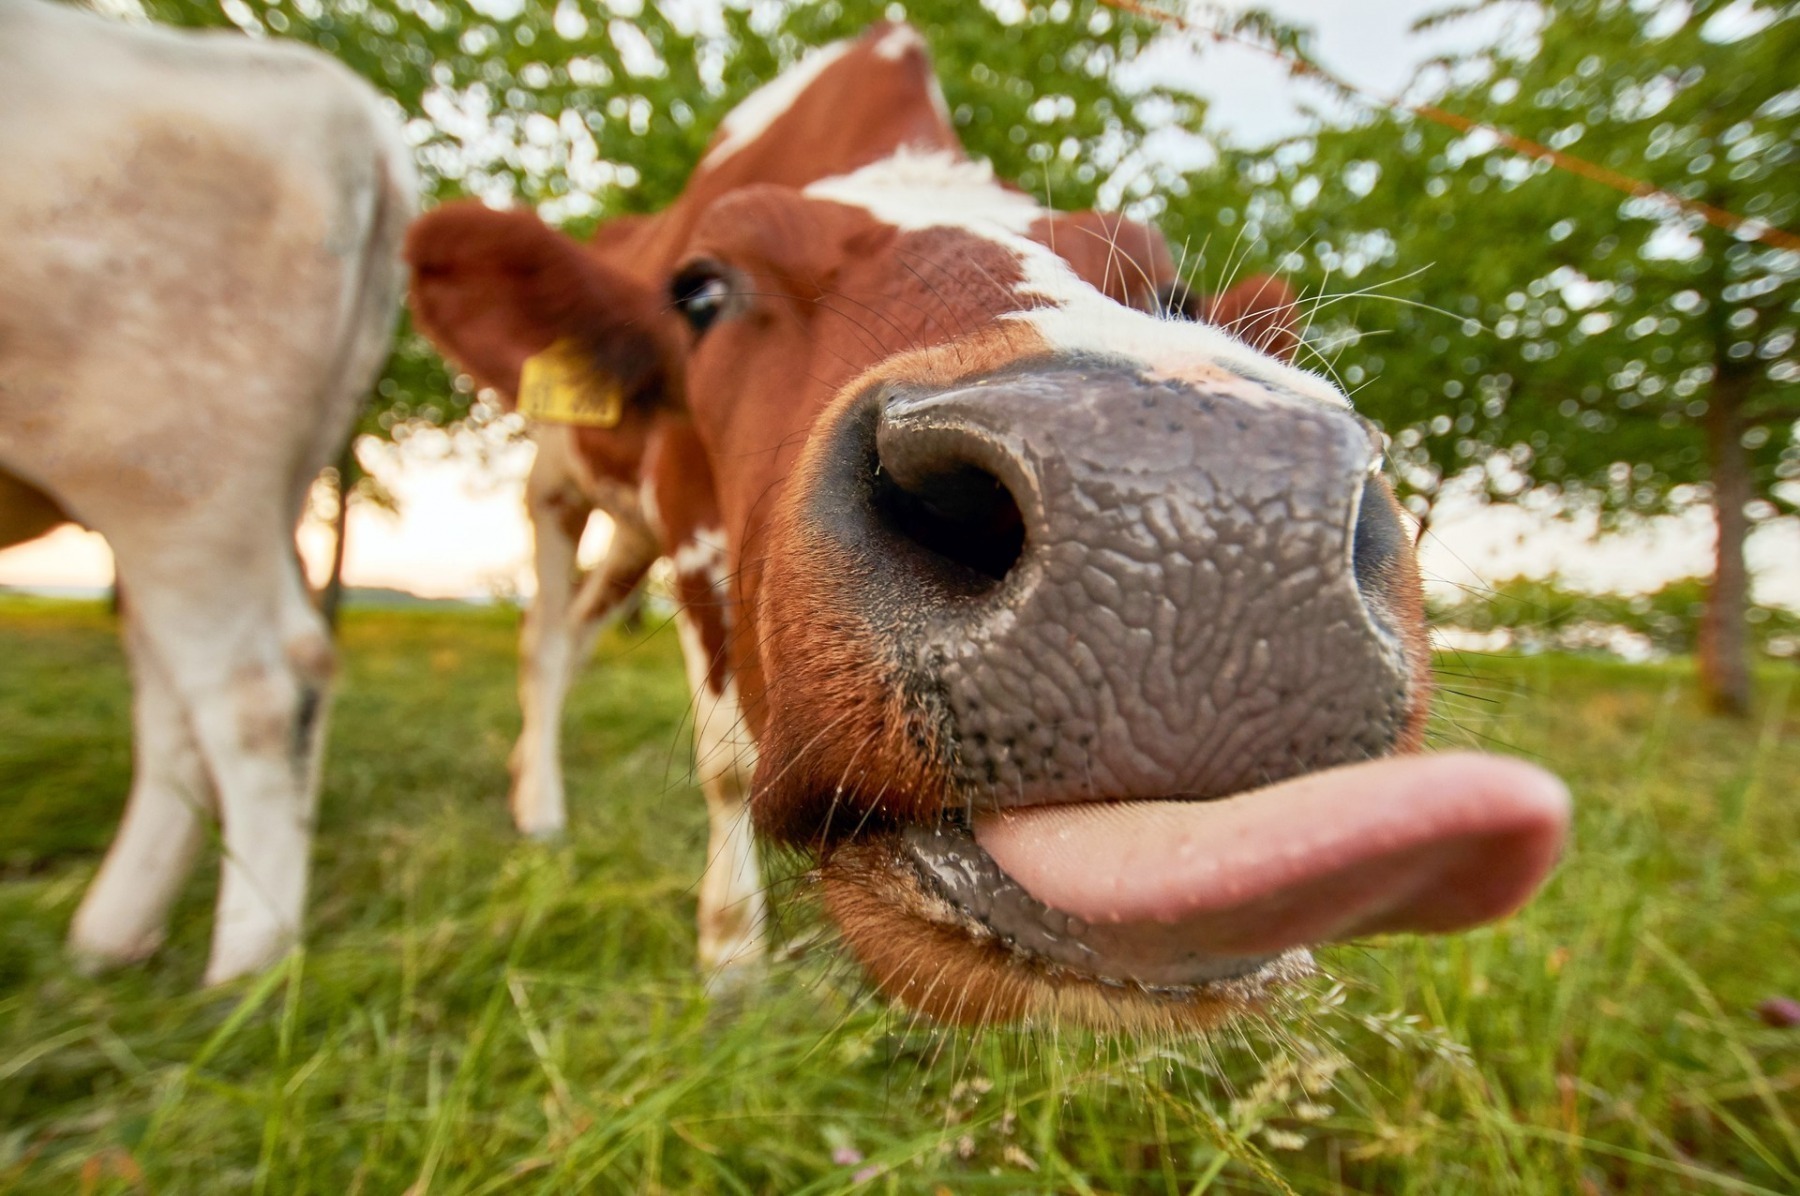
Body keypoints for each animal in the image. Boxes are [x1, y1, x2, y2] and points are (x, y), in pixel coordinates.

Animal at [1, 0, 414, 987]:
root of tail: (359, 116)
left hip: (171, 462)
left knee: (253, 690)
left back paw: (245, 968)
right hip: (246, 485)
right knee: (179, 703)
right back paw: (112, 939)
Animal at [405, 21, 1562, 1030]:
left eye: (1175, 292)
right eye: (698, 290)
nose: (1193, 517)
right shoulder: (689, 518)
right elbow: (728, 759)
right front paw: (730, 963)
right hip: (559, 486)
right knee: (546, 637)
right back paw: (540, 810)